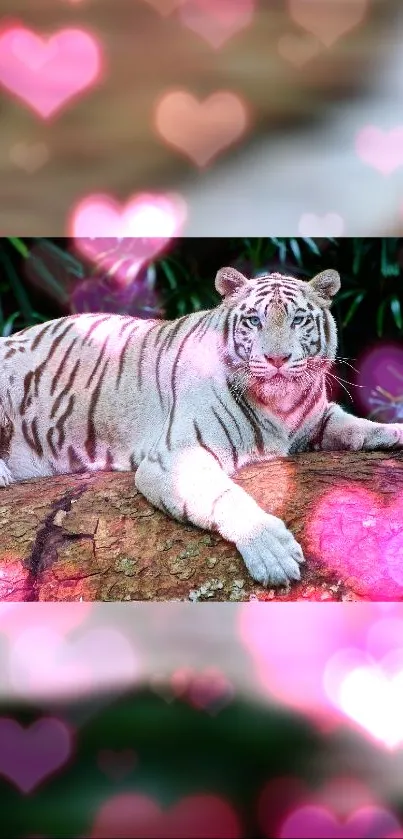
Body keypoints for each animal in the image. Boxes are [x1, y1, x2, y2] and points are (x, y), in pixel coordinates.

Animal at [0, 266, 403, 588]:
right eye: (254, 321)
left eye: (298, 320)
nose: (276, 358)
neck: (280, 408)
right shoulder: (175, 457)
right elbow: (225, 495)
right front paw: (272, 552)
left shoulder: (315, 418)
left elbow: (352, 424)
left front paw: (393, 430)